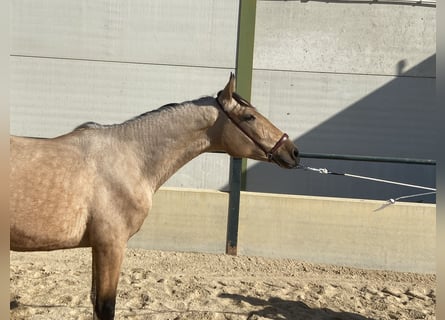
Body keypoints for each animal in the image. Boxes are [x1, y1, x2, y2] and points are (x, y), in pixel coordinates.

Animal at [10, 73, 300, 320]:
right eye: (250, 116)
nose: (292, 151)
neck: (130, 158)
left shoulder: (99, 247)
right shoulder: (111, 245)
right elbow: (105, 306)